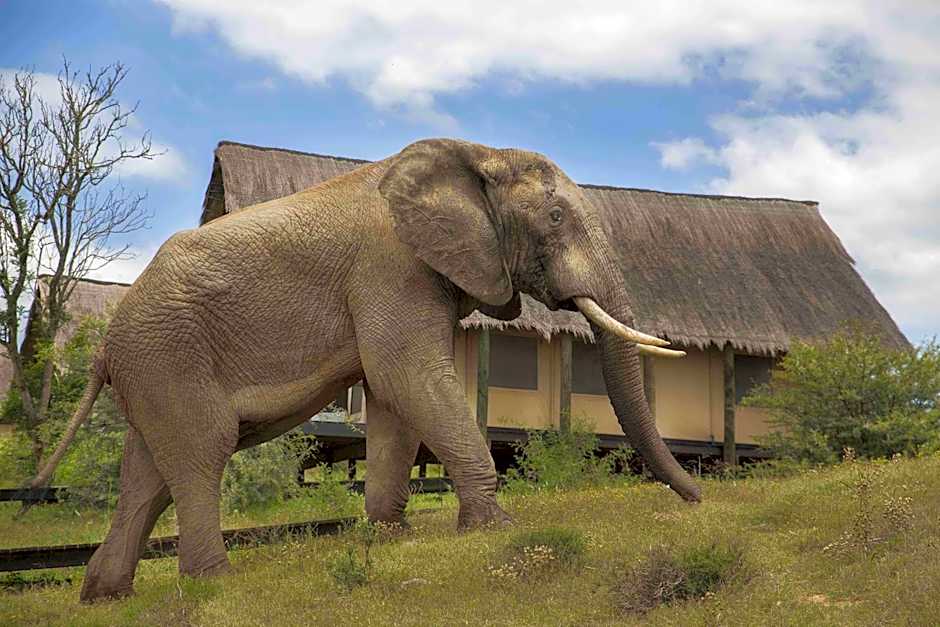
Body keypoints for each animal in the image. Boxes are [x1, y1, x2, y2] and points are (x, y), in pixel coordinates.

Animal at [30, 138, 700, 602]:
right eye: (556, 220)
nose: (697, 498)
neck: (478, 153)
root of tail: (104, 345)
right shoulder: (393, 267)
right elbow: (408, 375)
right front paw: (495, 528)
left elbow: (391, 396)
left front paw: (388, 537)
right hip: (169, 354)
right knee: (200, 452)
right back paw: (215, 582)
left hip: (153, 368)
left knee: (148, 474)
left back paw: (105, 596)